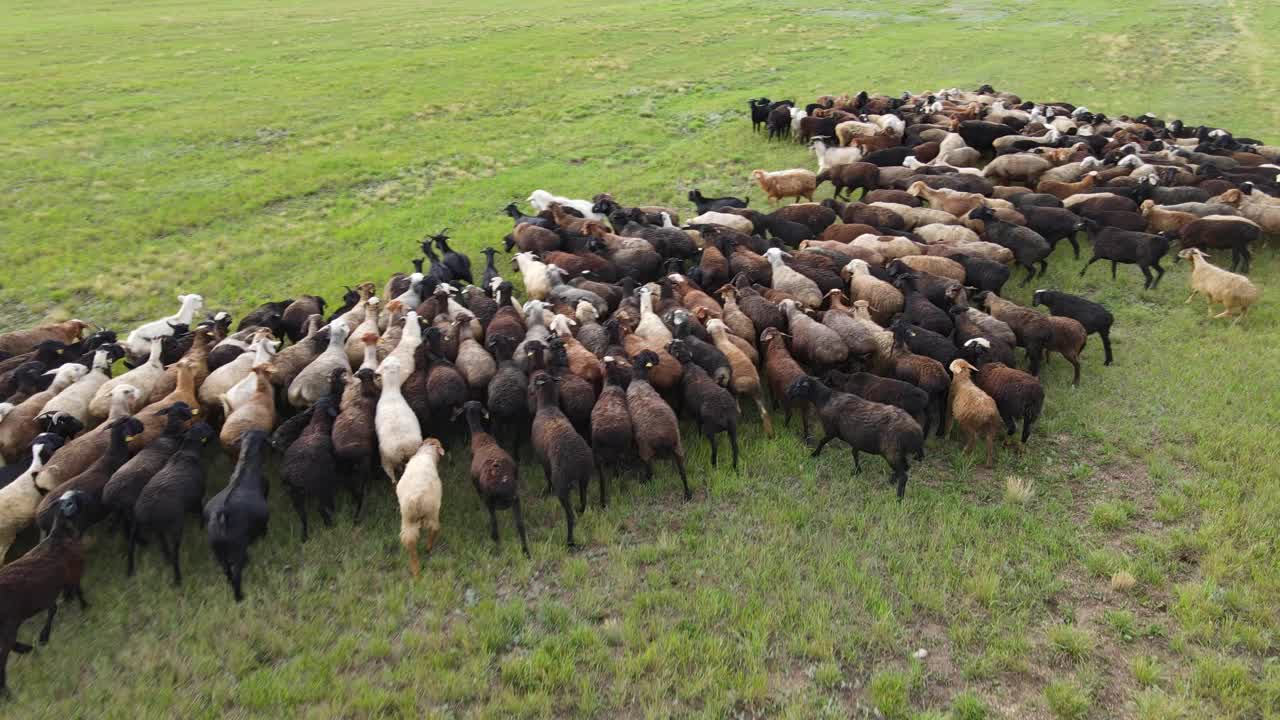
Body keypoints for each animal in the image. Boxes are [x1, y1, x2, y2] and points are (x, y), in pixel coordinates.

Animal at [783, 376, 926, 499]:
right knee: (906, 467)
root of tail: (917, 431)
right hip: (898, 452)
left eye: (797, 385)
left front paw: (814, 454)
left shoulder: (832, 430)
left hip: (891, 451)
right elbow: (854, 453)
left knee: (904, 475)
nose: (787, 392)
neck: (825, 399)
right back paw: (891, 481)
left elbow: (822, 441)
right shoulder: (856, 440)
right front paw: (857, 471)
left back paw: (899, 497)